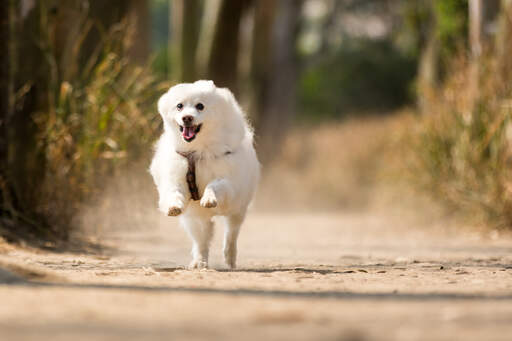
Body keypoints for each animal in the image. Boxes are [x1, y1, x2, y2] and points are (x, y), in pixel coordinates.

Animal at [148, 79, 260, 268]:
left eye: (200, 106)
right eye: (179, 106)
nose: (187, 117)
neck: (198, 150)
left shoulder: (228, 180)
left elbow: (214, 185)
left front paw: (209, 198)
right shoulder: (176, 177)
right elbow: (174, 192)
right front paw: (174, 206)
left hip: (237, 209)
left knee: (232, 233)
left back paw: (229, 257)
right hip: (195, 219)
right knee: (201, 241)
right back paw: (199, 262)